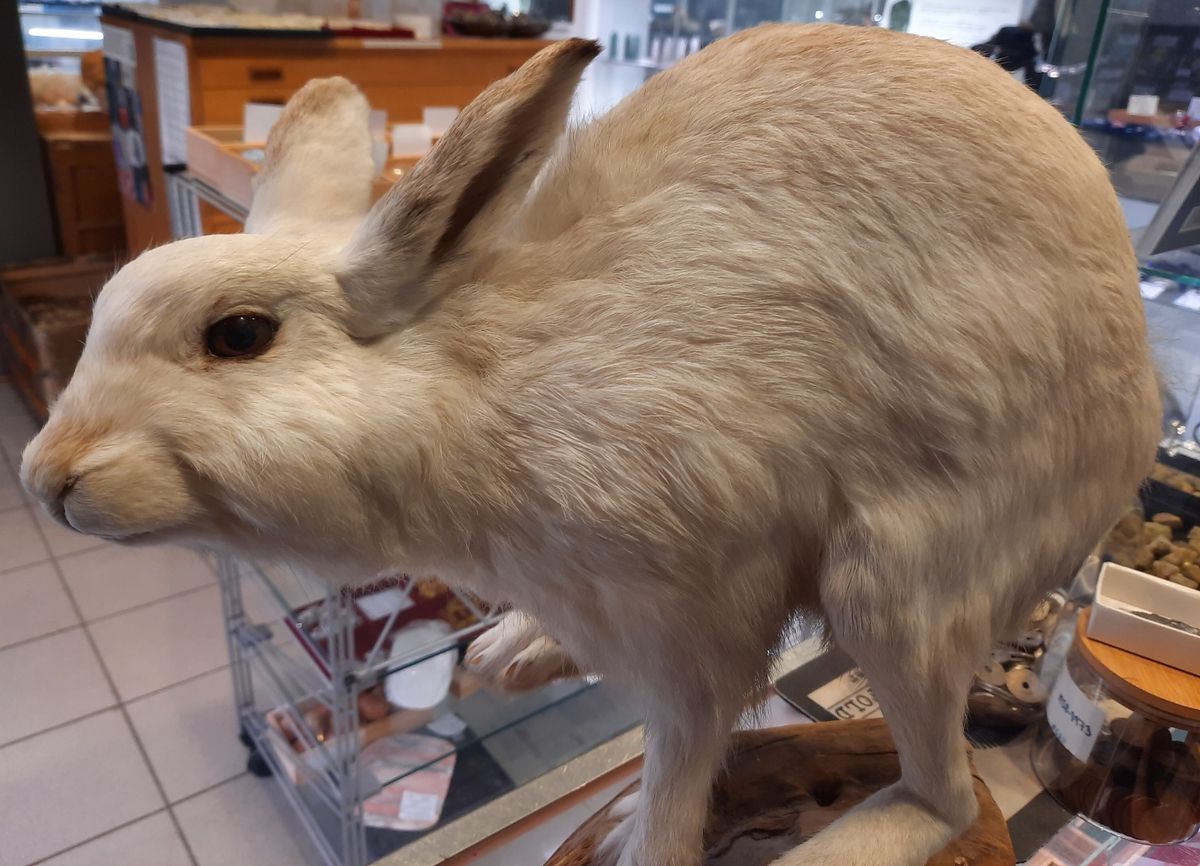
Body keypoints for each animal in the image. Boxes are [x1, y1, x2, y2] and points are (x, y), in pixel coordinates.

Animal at [21, 23, 1160, 866]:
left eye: (240, 335)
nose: (46, 477)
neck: (475, 383)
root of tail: (1143, 415)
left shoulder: (697, 629)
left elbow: (678, 768)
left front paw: (635, 839)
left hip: (897, 589)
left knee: (943, 794)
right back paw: (511, 650)